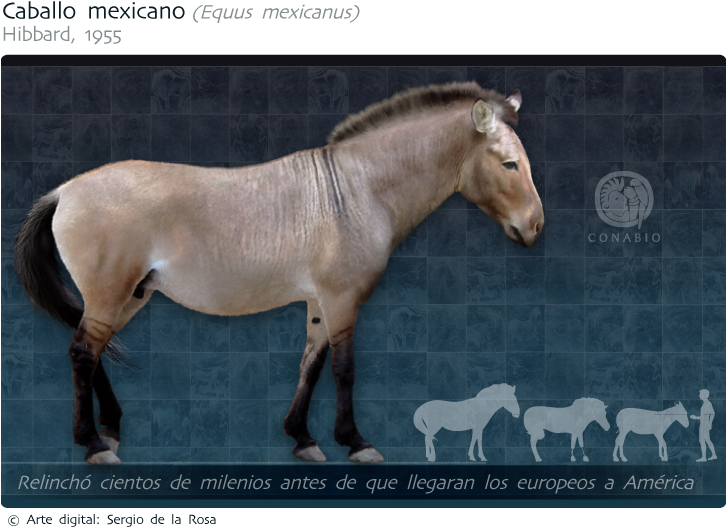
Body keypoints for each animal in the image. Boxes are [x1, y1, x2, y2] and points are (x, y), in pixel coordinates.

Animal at [14, 81, 543, 465]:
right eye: (508, 164)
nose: (536, 227)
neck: (355, 192)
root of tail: (65, 189)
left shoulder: (319, 302)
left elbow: (311, 363)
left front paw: (303, 438)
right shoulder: (342, 300)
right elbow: (344, 369)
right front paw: (356, 442)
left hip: (131, 295)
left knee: (93, 351)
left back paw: (110, 430)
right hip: (110, 294)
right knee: (83, 352)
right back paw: (93, 444)